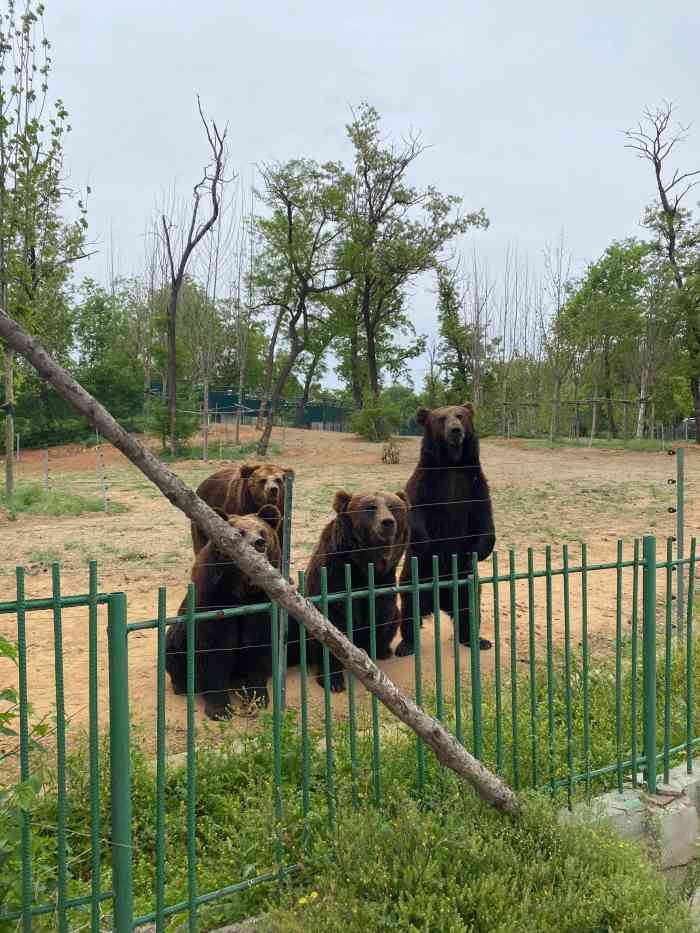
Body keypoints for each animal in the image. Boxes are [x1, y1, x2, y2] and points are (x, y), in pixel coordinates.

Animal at [165, 506, 296, 716]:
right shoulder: (214, 602)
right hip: (177, 638)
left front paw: (257, 698)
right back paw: (182, 685)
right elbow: (214, 651)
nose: (259, 543)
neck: (242, 590)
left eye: (263, 532)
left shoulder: (262, 606)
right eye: (240, 532)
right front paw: (219, 708)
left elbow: (258, 647)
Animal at [304, 492, 410, 688]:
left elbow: (381, 616)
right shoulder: (333, 574)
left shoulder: (383, 581)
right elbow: (332, 626)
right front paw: (333, 681)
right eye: (370, 507)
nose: (387, 522)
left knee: (395, 616)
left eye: (393, 507)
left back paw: (384, 651)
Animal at [396, 404, 494, 660]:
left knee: (469, 606)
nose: (455, 430)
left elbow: (485, 519)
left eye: (460, 415)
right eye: (441, 418)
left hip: (464, 581)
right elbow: (416, 514)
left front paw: (477, 551)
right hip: (417, 577)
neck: (452, 464)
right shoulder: (425, 483)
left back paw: (476, 640)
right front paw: (426, 544)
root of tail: (440, 601)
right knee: (410, 606)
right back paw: (406, 645)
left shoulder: (474, 484)